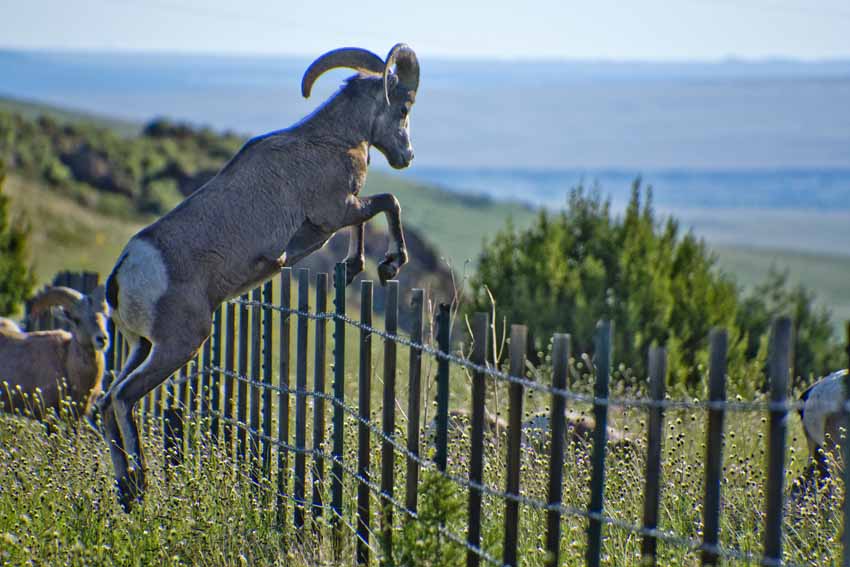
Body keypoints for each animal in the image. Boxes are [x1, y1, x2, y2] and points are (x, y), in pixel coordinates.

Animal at [98, 44, 421, 510]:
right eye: (404, 107)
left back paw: (125, 491)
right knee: (124, 399)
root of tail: (123, 274)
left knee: (106, 402)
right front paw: (391, 264)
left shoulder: (336, 218)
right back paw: (139, 485)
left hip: (138, 346)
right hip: (178, 345)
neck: (330, 141)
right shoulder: (337, 210)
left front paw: (355, 267)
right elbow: (388, 202)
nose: (406, 156)